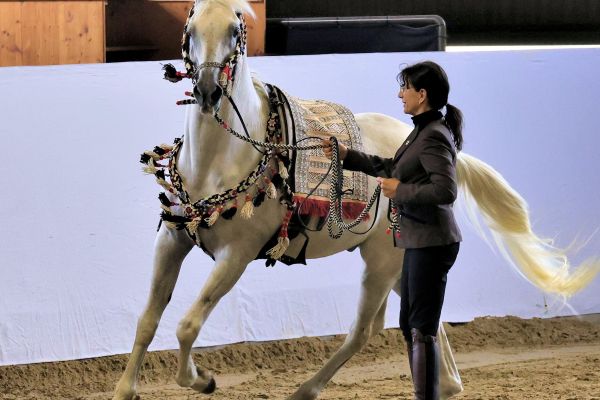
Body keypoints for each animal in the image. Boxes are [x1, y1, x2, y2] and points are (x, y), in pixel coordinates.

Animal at [112, 1, 600, 399]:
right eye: (191, 25)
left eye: (235, 29)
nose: (209, 89)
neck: (225, 158)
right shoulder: (172, 239)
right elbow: (148, 319)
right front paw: (124, 390)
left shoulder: (236, 255)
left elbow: (187, 325)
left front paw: (203, 380)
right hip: (404, 265)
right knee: (425, 325)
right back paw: (445, 385)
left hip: (382, 263)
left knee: (365, 330)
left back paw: (306, 390)